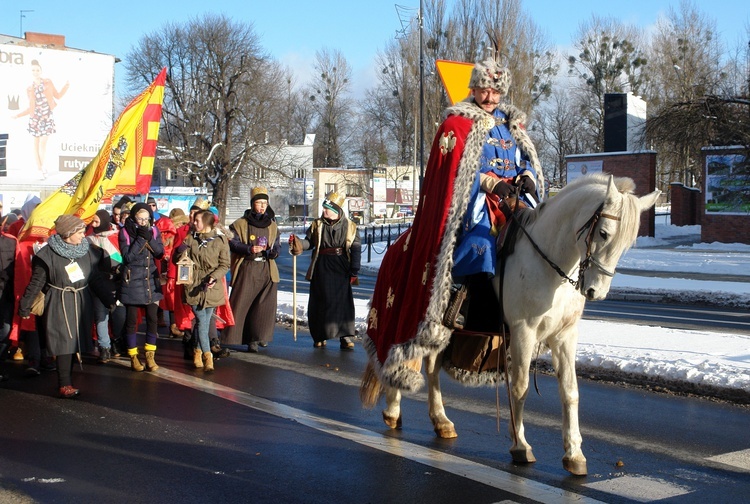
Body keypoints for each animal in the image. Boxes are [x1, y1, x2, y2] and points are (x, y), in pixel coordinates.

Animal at [362, 174, 660, 476]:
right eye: (604, 233)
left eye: (627, 244)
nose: (595, 292)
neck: (550, 263)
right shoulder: (522, 332)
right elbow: (520, 386)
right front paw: (520, 445)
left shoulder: (565, 335)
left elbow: (570, 391)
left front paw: (574, 454)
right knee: (397, 354)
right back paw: (393, 410)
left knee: (432, 368)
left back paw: (441, 421)